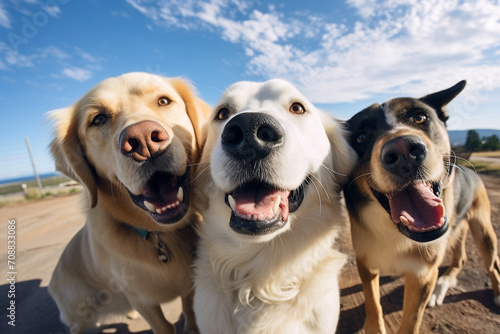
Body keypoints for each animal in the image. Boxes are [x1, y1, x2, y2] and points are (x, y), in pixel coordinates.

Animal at [47, 72, 210, 332]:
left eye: (164, 101)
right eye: (98, 119)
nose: (143, 139)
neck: (159, 236)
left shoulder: (189, 286)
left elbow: (190, 314)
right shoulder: (142, 301)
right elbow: (164, 326)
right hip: (80, 315)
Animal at [344, 81, 500, 334]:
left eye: (419, 117)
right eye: (361, 136)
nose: (403, 151)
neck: (395, 231)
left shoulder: (423, 276)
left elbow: (411, 321)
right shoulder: (366, 264)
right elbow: (372, 304)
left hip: (484, 230)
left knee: (492, 265)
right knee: (460, 259)